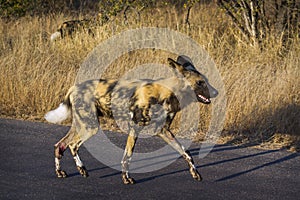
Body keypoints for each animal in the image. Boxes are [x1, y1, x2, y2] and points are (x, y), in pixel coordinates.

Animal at [45, 55, 218, 184]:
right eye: (200, 82)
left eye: (207, 81)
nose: (216, 92)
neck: (167, 93)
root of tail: (74, 87)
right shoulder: (135, 127)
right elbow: (127, 157)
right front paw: (126, 179)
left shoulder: (163, 131)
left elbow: (185, 152)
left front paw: (195, 173)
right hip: (91, 127)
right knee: (72, 145)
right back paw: (81, 169)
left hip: (81, 125)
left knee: (60, 145)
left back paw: (62, 172)